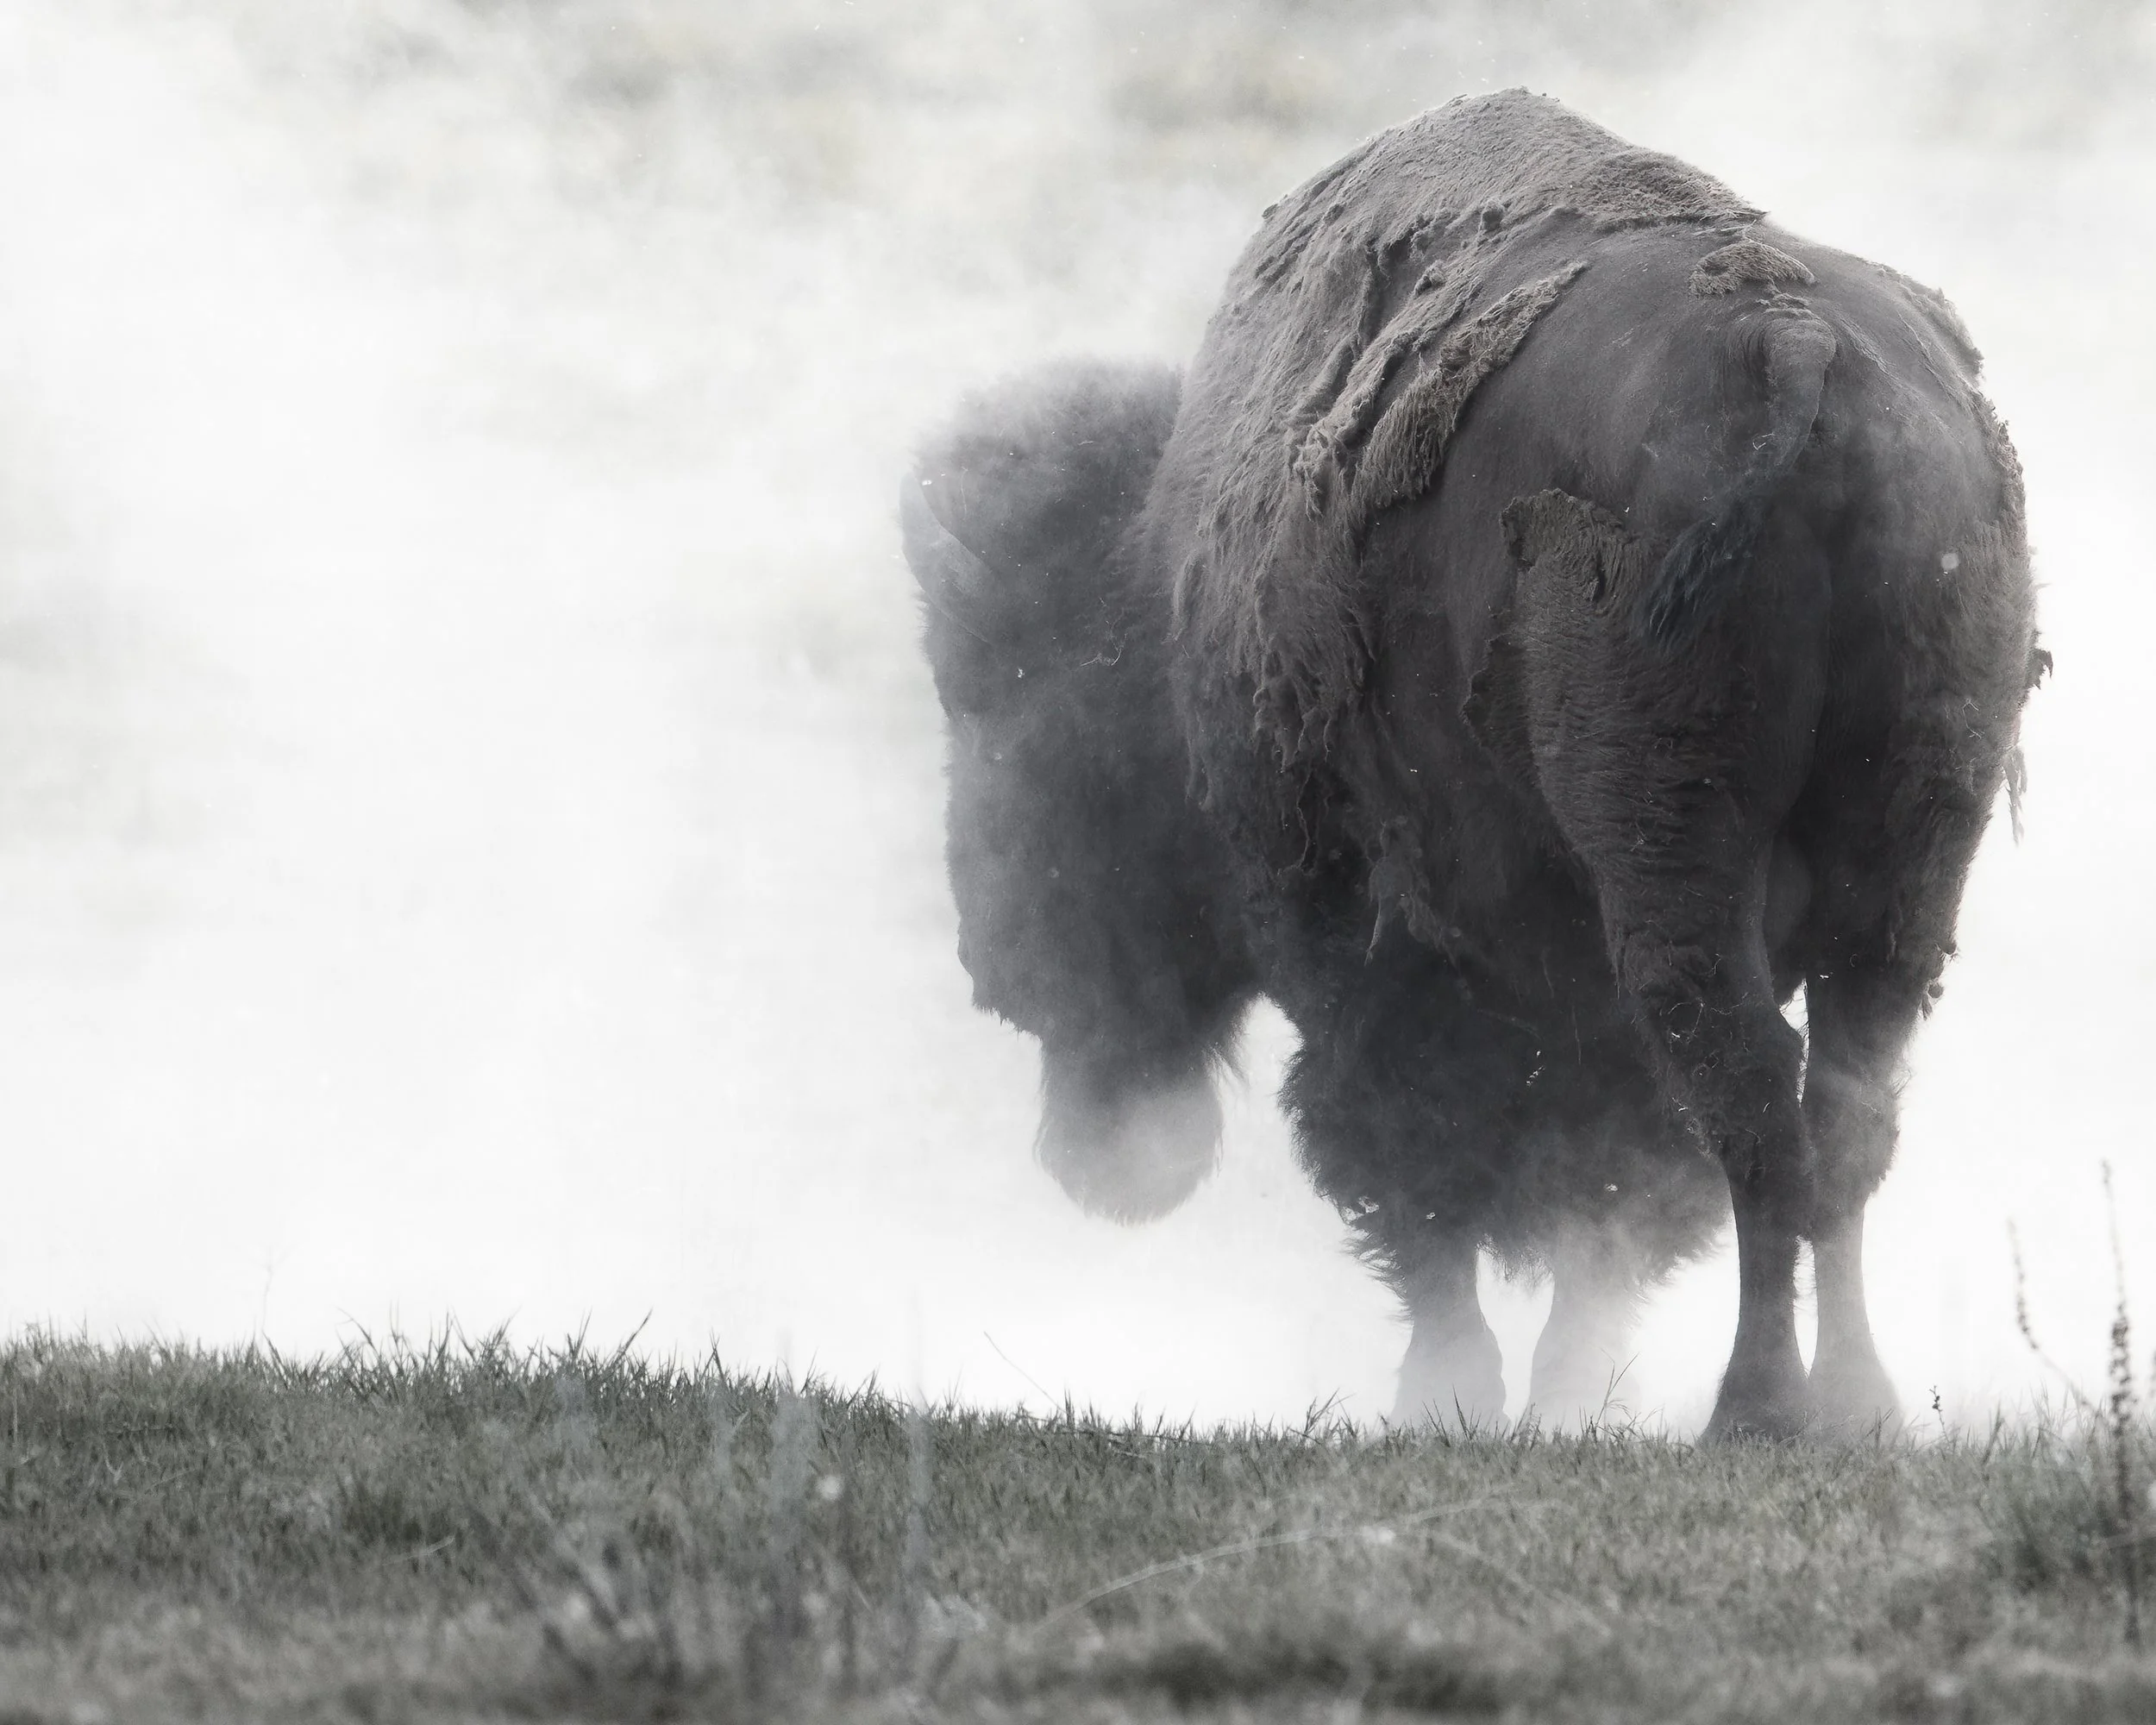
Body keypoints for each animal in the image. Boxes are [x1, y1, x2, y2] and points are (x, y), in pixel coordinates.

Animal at [902, 91, 2039, 1439]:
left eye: (1009, 715)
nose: (989, 965)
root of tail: (1792, 342)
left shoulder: (1347, 935)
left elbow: (1414, 1167)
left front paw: (1448, 1396)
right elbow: (1598, 1208)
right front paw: (1555, 1399)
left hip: (1671, 856)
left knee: (1746, 1088)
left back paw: (1752, 1408)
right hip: (1908, 864)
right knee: (1842, 1114)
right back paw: (1859, 1408)